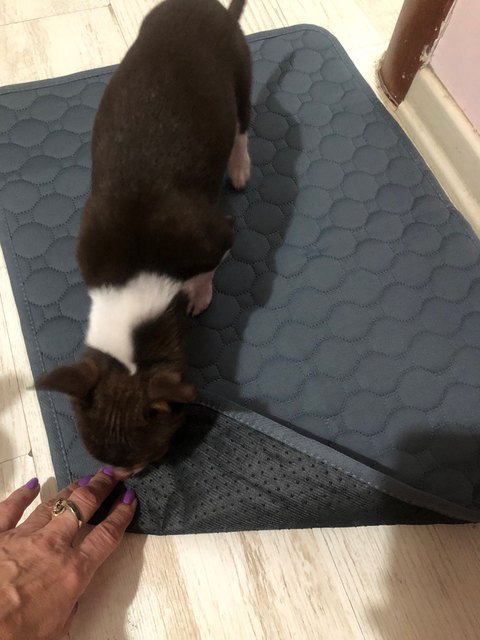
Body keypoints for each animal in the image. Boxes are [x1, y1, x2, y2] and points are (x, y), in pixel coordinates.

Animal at [36, 0, 251, 474]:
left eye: (147, 459)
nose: (119, 475)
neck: (129, 283)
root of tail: (210, 7)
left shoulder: (218, 236)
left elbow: (208, 269)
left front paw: (198, 293)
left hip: (242, 75)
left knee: (242, 127)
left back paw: (240, 166)